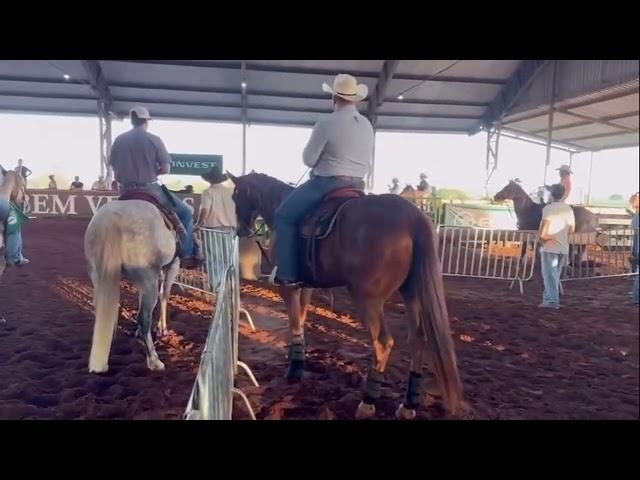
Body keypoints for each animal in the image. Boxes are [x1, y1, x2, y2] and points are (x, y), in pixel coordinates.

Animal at [85, 201, 180, 374]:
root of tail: (112, 217)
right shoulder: (173, 266)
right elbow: (165, 295)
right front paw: (162, 328)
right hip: (149, 281)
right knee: (144, 317)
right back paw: (154, 361)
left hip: (98, 275)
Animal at [228, 172, 462, 420]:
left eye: (235, 196)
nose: (241, 230)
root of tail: (412, 217)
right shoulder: (306, 286)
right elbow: (301, 319)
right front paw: (298, 358)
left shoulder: (287, 287)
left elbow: (294, 323)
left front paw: (294, 369)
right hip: (411, 294)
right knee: (417, 339)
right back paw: (408, 405)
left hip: (368, 299)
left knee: (383, 342)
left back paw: (367, 402)